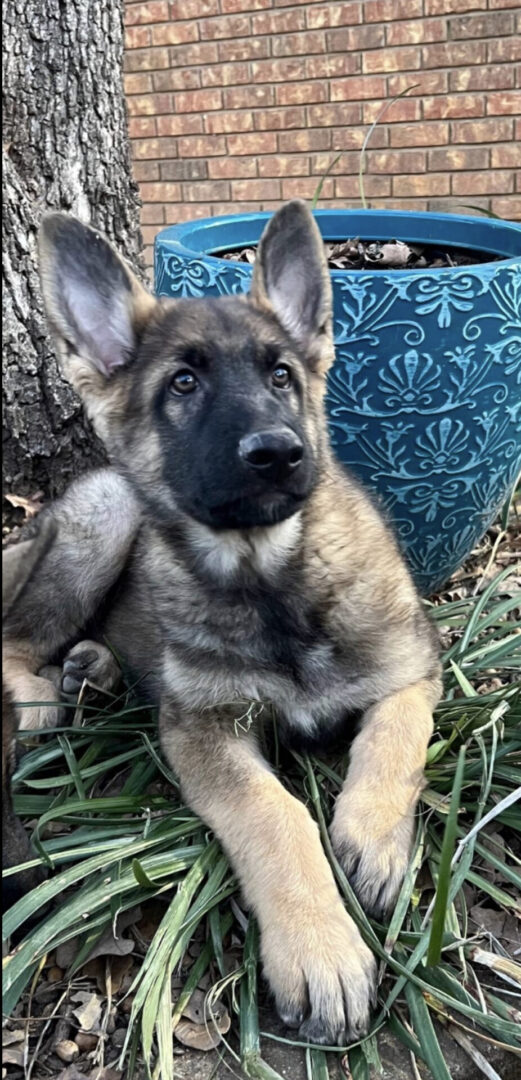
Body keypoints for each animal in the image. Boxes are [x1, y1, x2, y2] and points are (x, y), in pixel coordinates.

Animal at [4, 203, 438, 1045]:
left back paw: (94, 671)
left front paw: (372, 838)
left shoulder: (412, 669)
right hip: (107, 515)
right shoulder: (203, 731)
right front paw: (319, 947)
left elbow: (394, 739)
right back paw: (43, 694)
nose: (277, 452)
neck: (270, 574)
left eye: (281, 375)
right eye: (183, 382)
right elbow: (275, 815)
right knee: (15, 635)